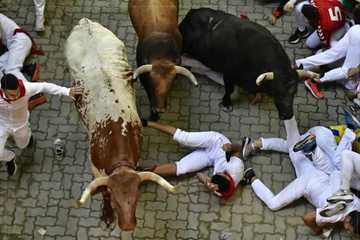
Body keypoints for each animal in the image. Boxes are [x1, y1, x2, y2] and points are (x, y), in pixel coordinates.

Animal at [66, 17, 177, 232]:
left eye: (136, 197)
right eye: (116, 201)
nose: (127, 226)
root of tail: (86, 23)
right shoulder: (96, 169)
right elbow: (103, 191)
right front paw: (107, 215)